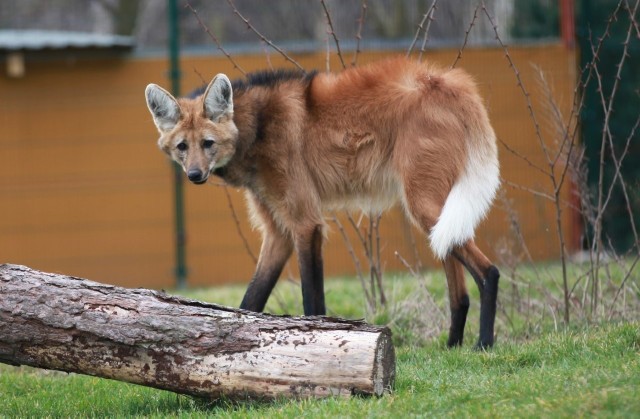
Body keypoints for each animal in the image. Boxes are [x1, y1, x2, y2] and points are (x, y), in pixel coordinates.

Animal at [145, 57, 500, 350]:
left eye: (208, 143)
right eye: (182, 147)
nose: (194, 174)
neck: (257, 129)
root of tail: (450, 81)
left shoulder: (305, 222)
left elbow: (311, 300)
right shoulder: (279, 233)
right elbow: (251, 299)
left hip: (424, 206)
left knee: (489, 272)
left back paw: (483, 345)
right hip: (436, 214)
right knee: (458, 289)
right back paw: (452, 346)